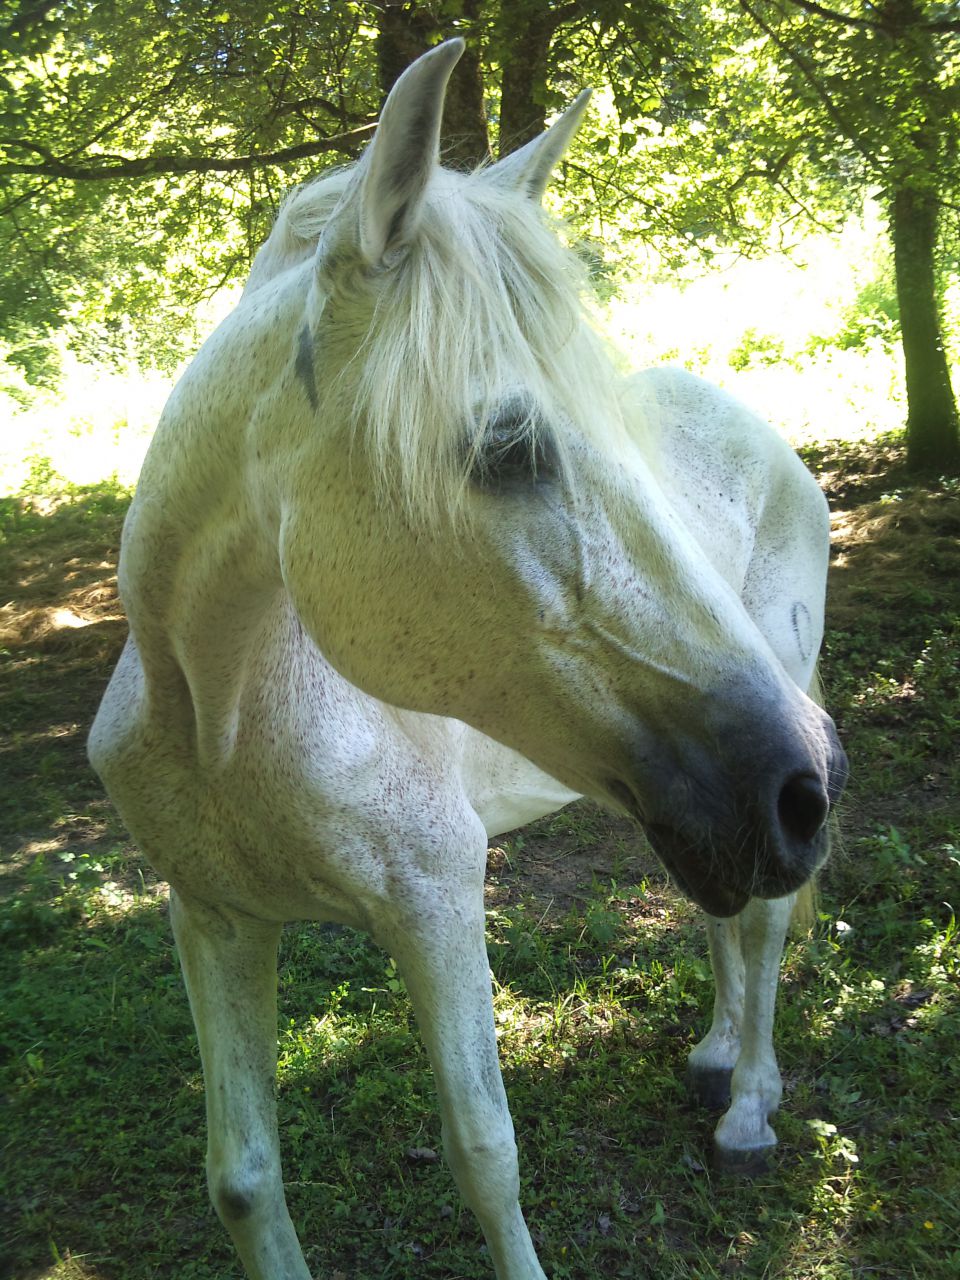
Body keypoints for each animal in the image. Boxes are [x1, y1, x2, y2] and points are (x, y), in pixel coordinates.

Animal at [88, 39, 847, 1280]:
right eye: (507, 449)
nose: (799, 789)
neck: (219, 711)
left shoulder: (438, 901)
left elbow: (486, 1153)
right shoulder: (212, 917)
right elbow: (244, 1180)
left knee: (767, 922)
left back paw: (748, 1107)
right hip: (693, 810)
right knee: (725, 914)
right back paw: (715, 1055)